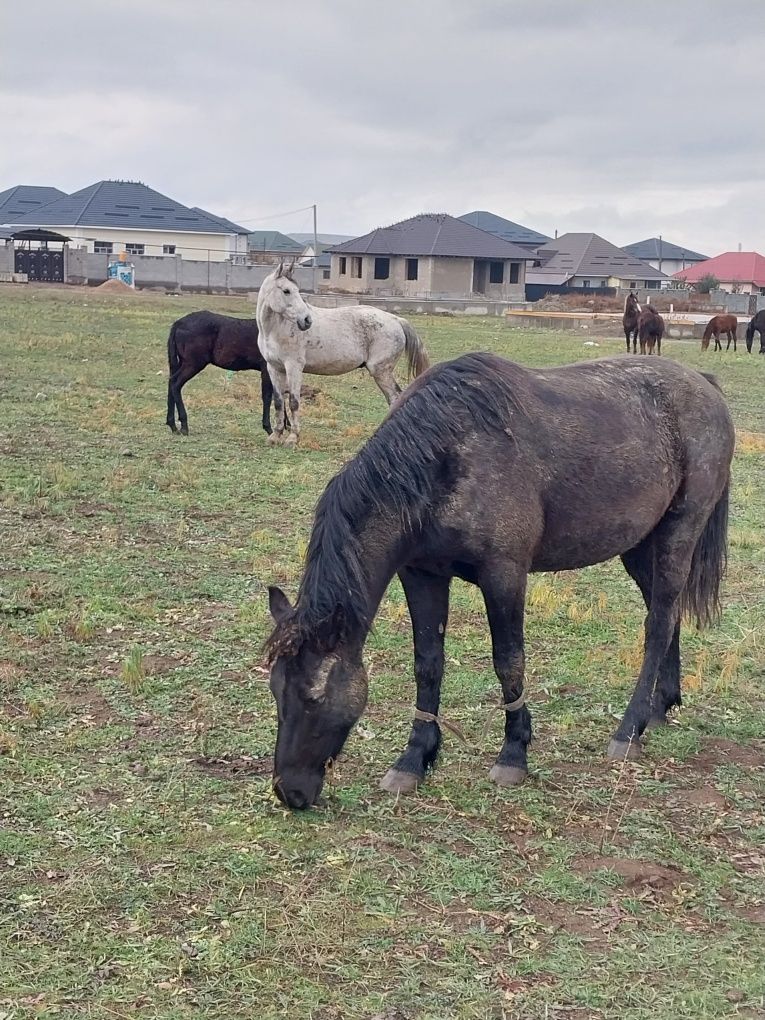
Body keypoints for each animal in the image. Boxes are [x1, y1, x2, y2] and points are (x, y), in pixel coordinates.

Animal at [166, 310, 279, 438]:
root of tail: (179, 323)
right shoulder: (266, 369)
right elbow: (268, 397)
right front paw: (270, 429)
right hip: (193, 363)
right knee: (175, 384)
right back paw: (184, 426)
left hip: (182, 362)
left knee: (171, 382)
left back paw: (172, 425)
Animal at [258, 263, 432, 442]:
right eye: (286, 291)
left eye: (296, 290)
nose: (307, 320)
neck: (276, 330)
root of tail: (396, 320)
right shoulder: (274, 368)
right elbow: (278, 401)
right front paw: (276, 435)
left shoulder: (294, 367)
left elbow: (293, 402)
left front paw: (293, 437)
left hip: (381, 372)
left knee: (395, 398)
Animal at [265, 354, 738, 807]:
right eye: (275, 691)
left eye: (313, 696)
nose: (290, 792)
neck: (444, 457)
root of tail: (704, 383)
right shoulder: (421, 575)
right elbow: (427, 665)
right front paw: (414, 758)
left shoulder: (504, 574)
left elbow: (509, 662)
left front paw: (513, 753)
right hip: (639, 547)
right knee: (667, 613)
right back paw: (659, 708)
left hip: (679, 533)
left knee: (657, 625)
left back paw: (629, 729)